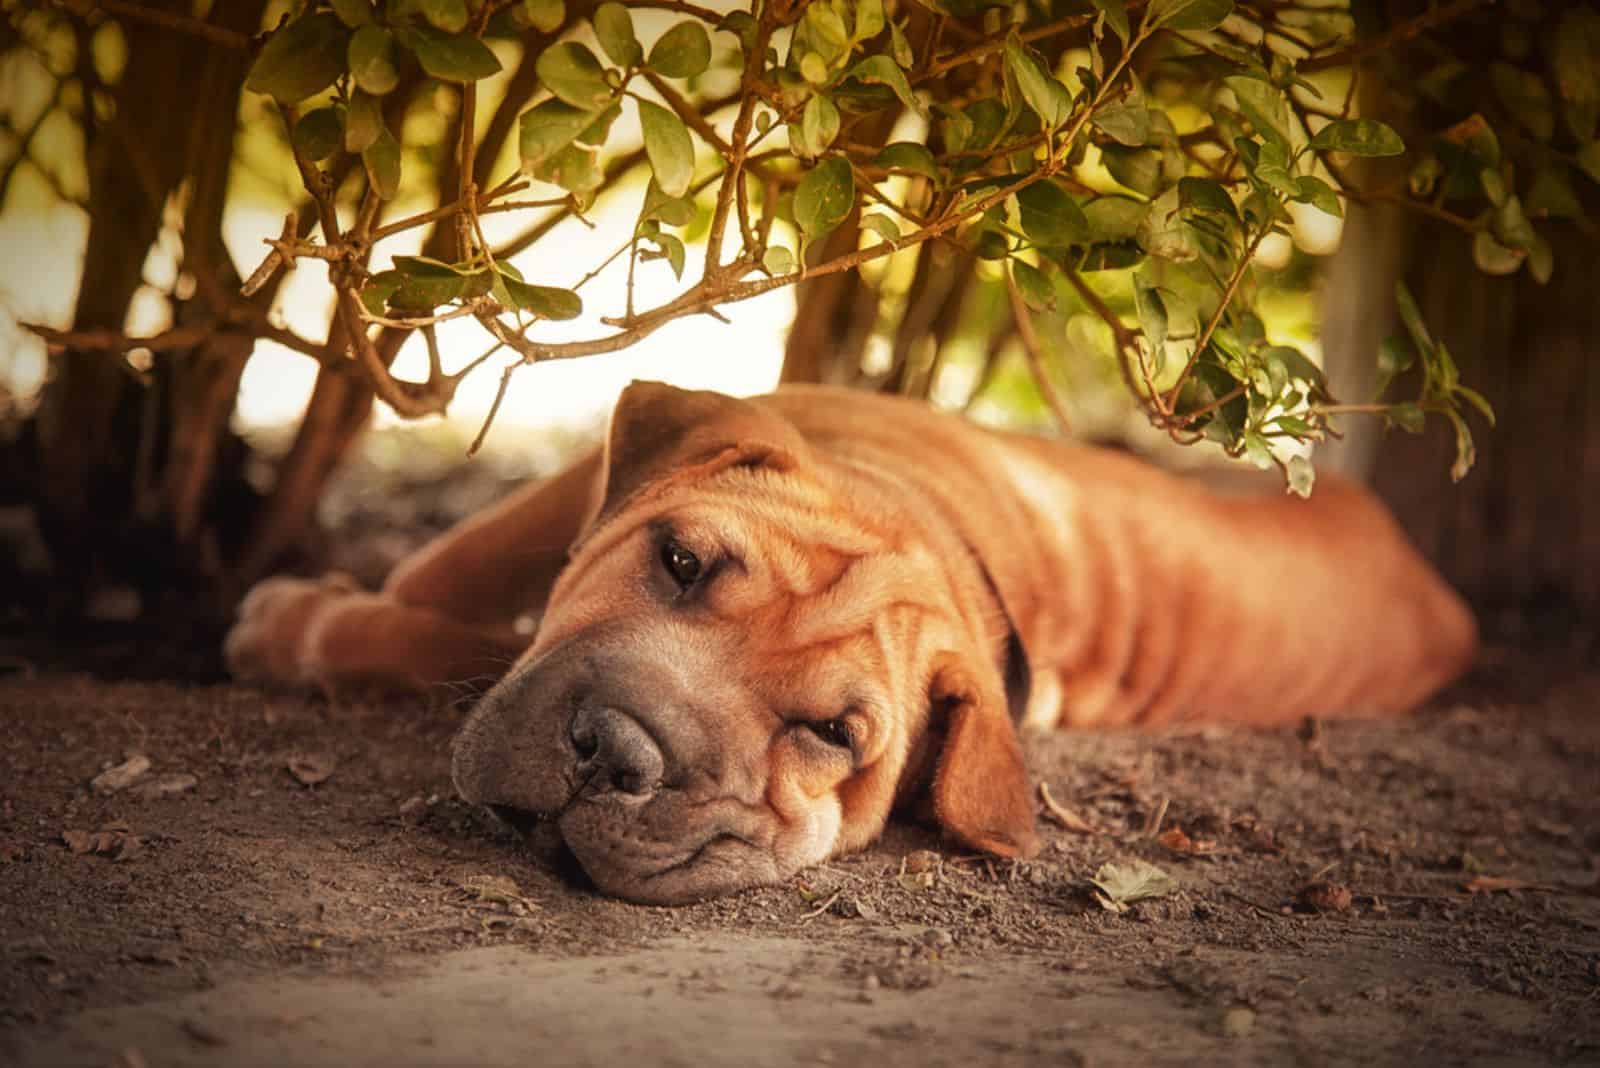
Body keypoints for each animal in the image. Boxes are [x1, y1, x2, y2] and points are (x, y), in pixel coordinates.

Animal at [228, 383, 1472, 901]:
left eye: (831, 732)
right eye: (678, 562)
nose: (618, 753)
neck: (924, 521)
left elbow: (440, 629)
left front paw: (301, 624)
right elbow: (449, 573)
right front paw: (312, 614)